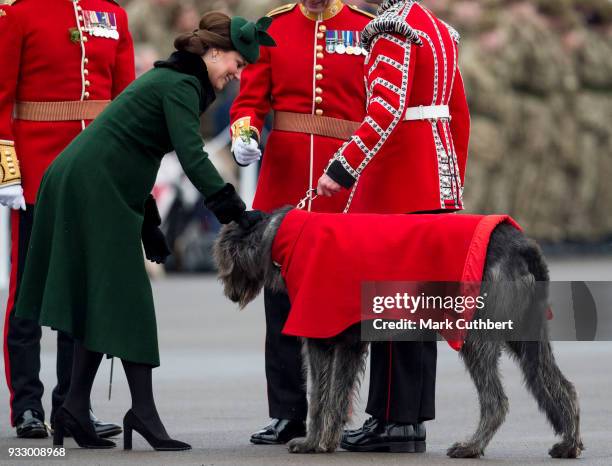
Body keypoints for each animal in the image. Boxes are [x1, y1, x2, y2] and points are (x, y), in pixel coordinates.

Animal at [215, 208, 584, 458]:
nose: (229, 293)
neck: (283, 236)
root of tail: (522, 245)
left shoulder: (319, 334)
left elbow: (320, 397)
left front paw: (311, 442)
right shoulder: (348, 341)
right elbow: (337, 395)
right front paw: (328, 441)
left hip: (474, 332)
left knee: (496, 400)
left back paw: (471, 446)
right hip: (526, 334)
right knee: (560, 384)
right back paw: (569, 442)